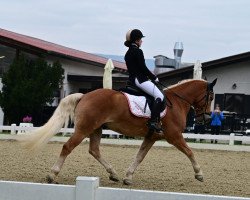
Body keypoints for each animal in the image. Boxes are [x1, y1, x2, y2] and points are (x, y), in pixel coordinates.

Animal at [18, 79, 217, 185]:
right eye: (211, 97)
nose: (207, 119)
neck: (176, 102)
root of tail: (84, 95)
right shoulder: (174, 136)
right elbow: (190, 151)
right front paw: (199, 174)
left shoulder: (151, 137)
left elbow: (139, 156)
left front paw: (128, 177)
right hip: (84, 129)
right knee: (68, 147)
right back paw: (52, 174)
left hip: (96, 129)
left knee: (94, 150)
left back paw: (113, 174)